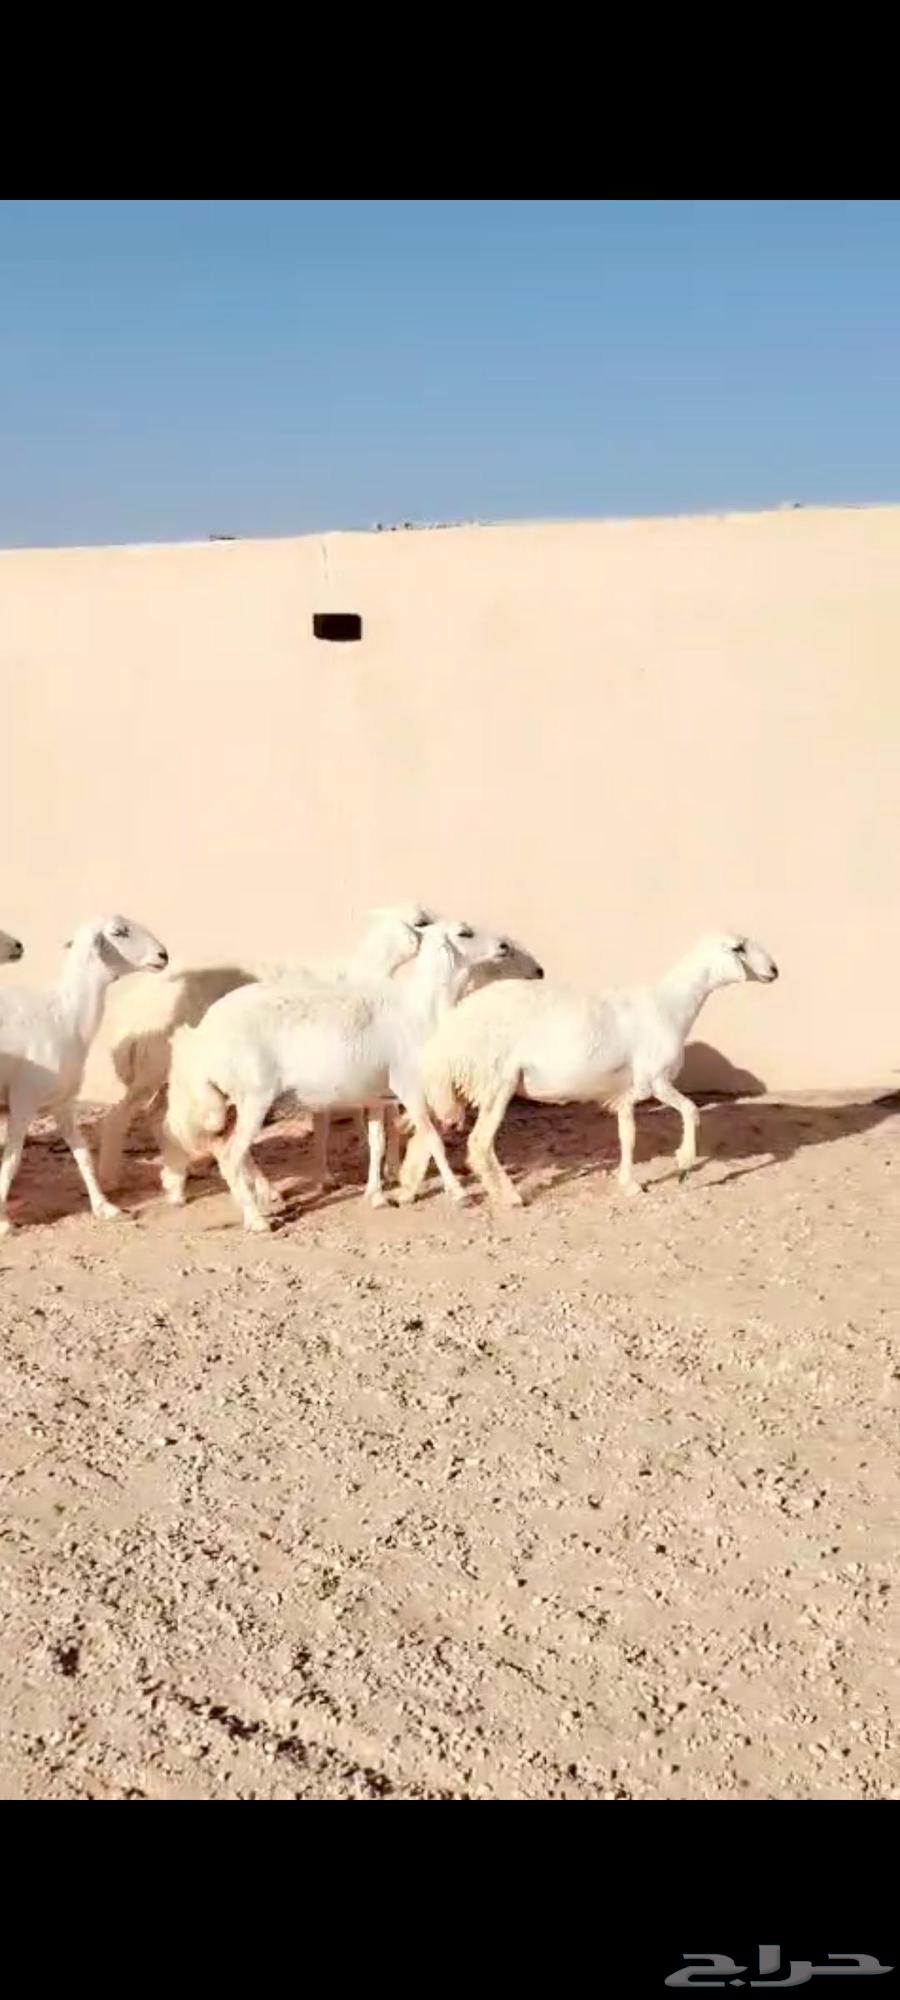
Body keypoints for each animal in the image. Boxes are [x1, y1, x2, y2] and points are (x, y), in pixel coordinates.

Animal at [0, 916, 169, 1235]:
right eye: (118, 932)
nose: (163, 955)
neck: (64, 1015)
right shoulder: (23, 1102)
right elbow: (11, 1161)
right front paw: (3, 1223)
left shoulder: (63, 1102)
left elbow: (83, 1155)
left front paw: (106, 1208)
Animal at [92, 902, 435, 1193]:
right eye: (422, 922)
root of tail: (130, 1017)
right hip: (159, 1067)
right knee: (122, 1117)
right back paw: (112, 1179)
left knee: (159, 1117)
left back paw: (178, 1178)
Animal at [160, 919, 511, 1231]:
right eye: (464, 932)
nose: (504, 946)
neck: (418, 1010)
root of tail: (204, 1032)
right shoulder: (409, 1088)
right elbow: (432, 1138)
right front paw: (460, 1194)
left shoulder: (377, 1098)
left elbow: (377, 1144)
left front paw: (376, 1196)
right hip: (254, 1100)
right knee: (233, 1156)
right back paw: (258, 1221)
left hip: (232, 1104)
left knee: (228, 1152)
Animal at [397, 932, 779, 1208]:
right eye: (738, 947)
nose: (774, 971)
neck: (670, 1005)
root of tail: (454, 1025)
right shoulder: (656, 1080)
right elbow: (691, 1110)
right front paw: (684, 1162)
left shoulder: (628, 1092)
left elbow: (628, 1136)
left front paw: (630, 1184)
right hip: (495, 1082)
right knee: (478, 1144)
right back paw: (509, 1197)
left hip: (458, 1085)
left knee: (425, 1133)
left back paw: (408, 1189)